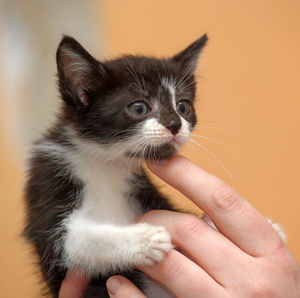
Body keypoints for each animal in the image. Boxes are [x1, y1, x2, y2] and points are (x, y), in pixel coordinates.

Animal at [23, 33, 209, 296]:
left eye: (183, 107)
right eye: (138, 108)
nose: (175, 124)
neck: (105, 164)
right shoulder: (48, 181)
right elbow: (73, 239)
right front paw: (146, 239)